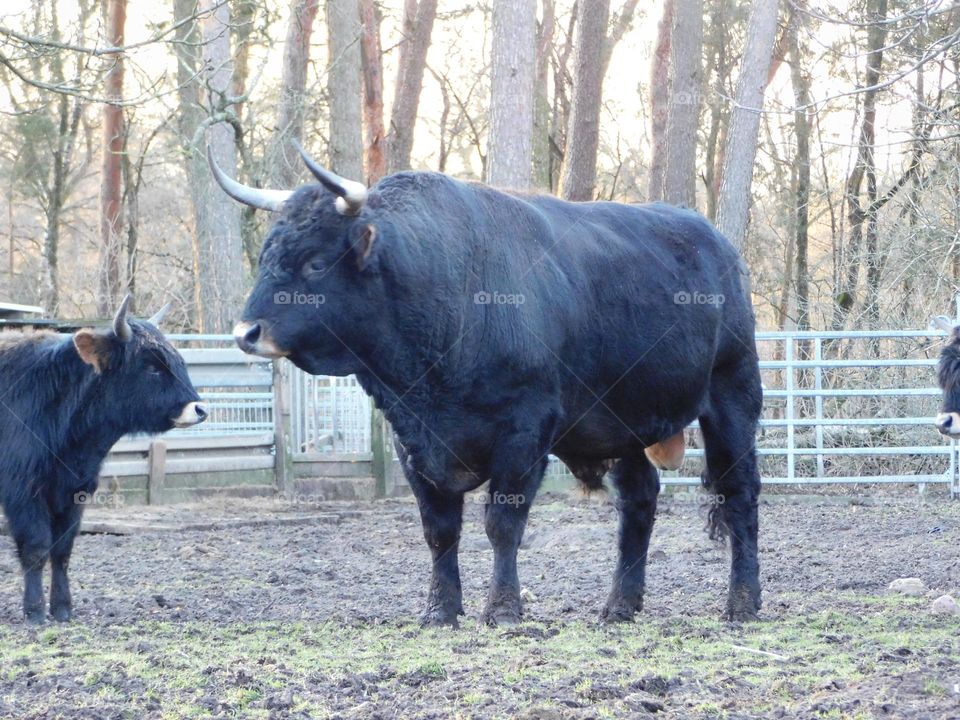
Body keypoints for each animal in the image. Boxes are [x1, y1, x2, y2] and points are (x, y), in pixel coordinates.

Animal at [0, 296, 207, 623]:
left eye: (178, 361)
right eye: (152, 367)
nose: (199, 409)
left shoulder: (75, 491)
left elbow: (62, 550)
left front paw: (62, 607)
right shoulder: (22, 491)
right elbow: (36, 547)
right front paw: (34, 610)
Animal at [210, 145, 763, 626]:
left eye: (316, 262)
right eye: (265, 256)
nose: (245, 333)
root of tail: (717, 242)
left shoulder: (523, 432)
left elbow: (502, 524)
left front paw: (502, 608)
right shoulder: (411, 440)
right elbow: (439, 531)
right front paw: (439, 610)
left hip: (732, 395)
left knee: (739, 494)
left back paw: (742, 602)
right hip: (624, 421)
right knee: (640, 501)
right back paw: (619, 606)